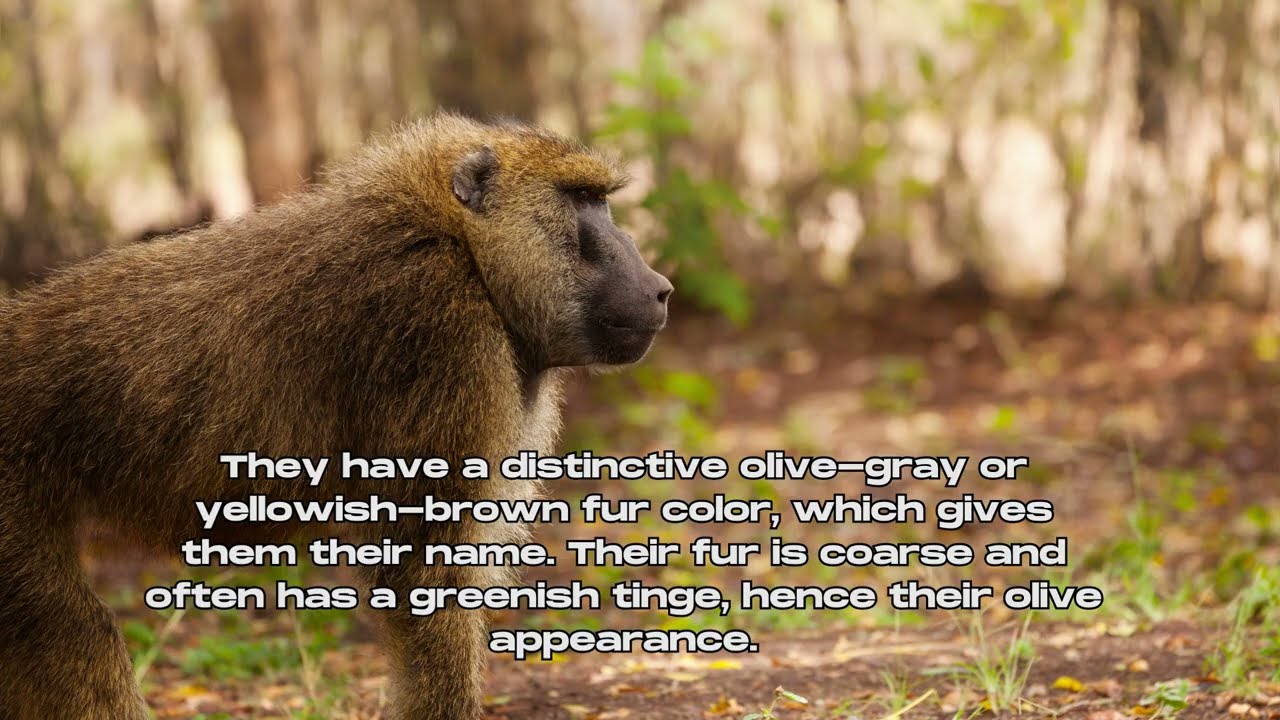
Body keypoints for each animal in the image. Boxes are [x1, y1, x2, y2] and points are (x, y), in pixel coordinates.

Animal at [0, 113, 673, 720]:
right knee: (71, 631)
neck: (462, 244)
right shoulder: (438, 326)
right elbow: (421, 573)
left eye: (599, 201)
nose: (660, 287)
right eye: (580, 201)